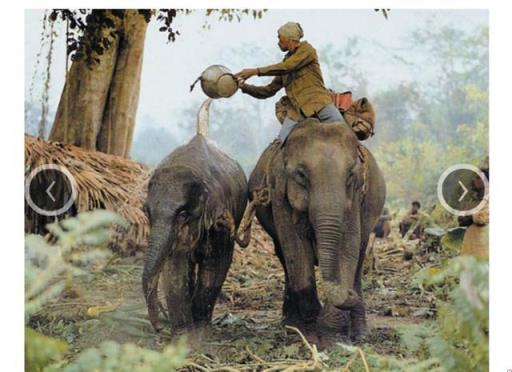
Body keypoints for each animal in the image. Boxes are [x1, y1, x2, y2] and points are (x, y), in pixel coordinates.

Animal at [142, 99, 248, 332]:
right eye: (147, 212)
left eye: (183, 214)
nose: (159, 326)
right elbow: (175, 266)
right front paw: (183, 330)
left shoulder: (221, 220)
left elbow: (216, 262)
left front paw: (200, 326)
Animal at [238, 117, 386, 342]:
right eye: (301, 175)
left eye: (350, 176)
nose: (349, 294)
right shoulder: (278, 191)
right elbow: (295, 247)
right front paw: (310, 329)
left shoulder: (356, 196)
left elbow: (348, 246)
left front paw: (332, 337)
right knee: (284, 256)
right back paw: (291, 325)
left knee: (359, 258)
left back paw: (360, 334)